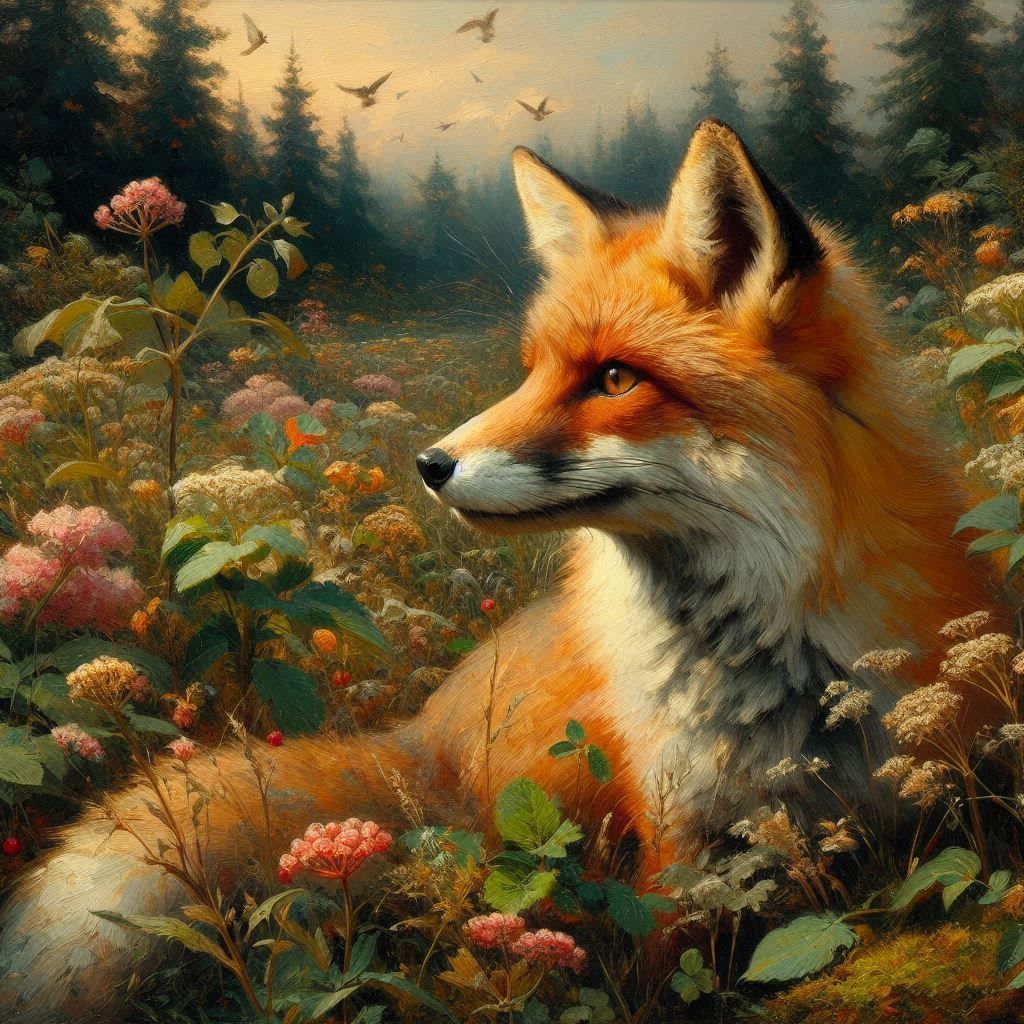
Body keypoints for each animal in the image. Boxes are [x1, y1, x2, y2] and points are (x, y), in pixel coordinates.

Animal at [0, 119, 999, 1022]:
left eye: (613, 380)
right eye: (533, 371)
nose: (429, 464)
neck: (774, 668)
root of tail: (423, 740)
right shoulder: (680, 843)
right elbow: (666, 970)